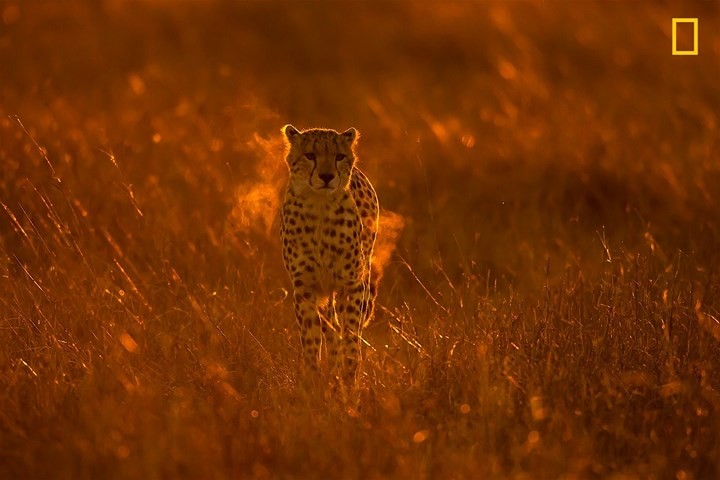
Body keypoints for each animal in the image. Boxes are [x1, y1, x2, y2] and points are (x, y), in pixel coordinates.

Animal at [280, 124, 380, 376]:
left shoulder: (351, 284)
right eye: (310, 155)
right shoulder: (305, 286)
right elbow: (311, 338)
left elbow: (351, 335)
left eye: (339, 157)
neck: (320, 205)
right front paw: (313, 377)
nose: (326, 177)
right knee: (331, 325)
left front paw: (349, 373)